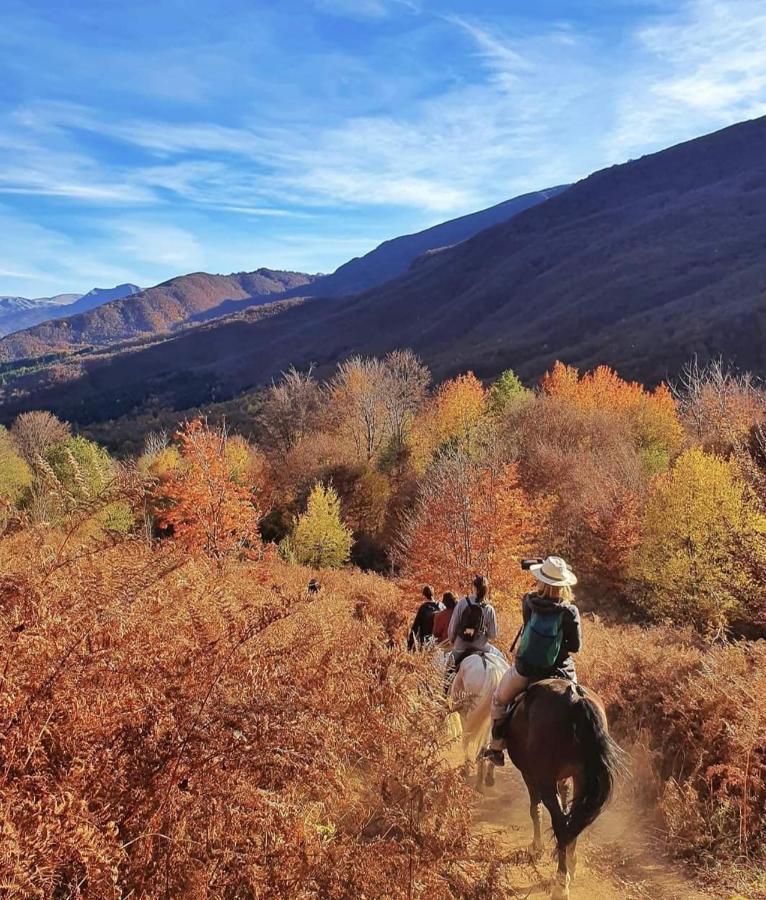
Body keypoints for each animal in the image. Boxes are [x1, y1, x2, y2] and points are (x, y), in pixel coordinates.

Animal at [504, 680, 624, 896]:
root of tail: (574, 698)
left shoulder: (531, 775)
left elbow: (535, 809)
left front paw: (536, 847)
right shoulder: (566, 779)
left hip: (546, 780)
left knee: (560, 823)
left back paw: (561, 883)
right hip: (581, 778)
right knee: (572, 821)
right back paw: (571, 865)